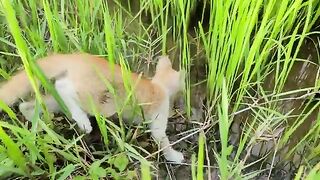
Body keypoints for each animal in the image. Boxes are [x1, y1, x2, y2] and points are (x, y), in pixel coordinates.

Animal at [0, 53, 185, 163]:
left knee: (29, 104)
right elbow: (162, 140)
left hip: (58, 101)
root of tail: (74, 56)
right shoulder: (159, 114)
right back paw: (83, 122)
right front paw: (175, 156)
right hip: (96, 97)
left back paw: (38, 123)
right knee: (62, 87)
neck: (158, 85)